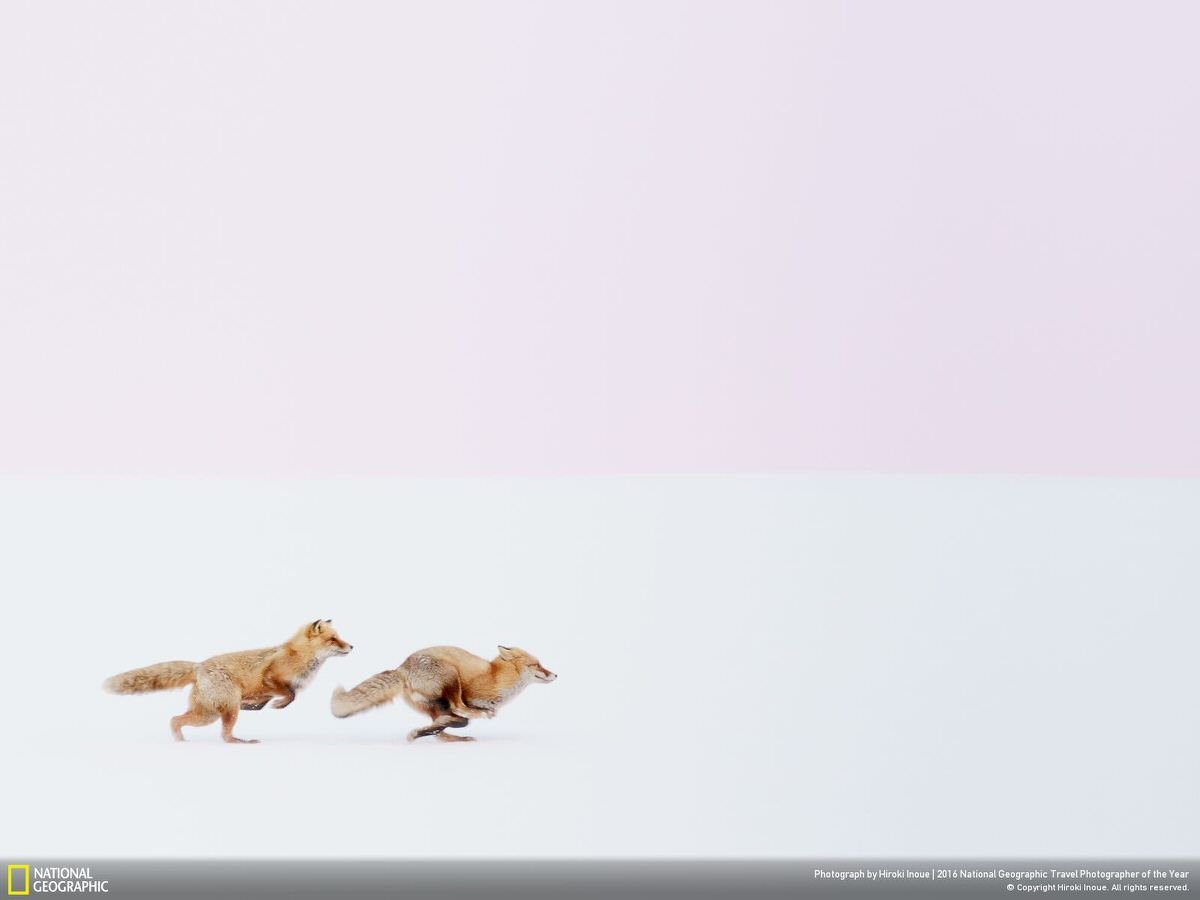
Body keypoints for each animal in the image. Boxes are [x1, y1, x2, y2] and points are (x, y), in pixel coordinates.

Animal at [103, 619, 353, 743]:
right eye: (333, 639)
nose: (352, 646)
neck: (300, 656)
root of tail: (198, 665)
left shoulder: (264, 691)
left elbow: (270, 699)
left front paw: (258, 706)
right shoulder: (271, 678)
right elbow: (289, 695)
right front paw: (278, 705)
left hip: (209, 713)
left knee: (176, 719)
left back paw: (180, 741)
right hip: (224, 710)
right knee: (222, 735)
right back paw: (237, 742)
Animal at [330, 644, 556, 742]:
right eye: (536, 665)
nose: (555, 674)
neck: (495, 677)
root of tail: (402, 668)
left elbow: (455, 721)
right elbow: (465, 712)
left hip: (433, 705)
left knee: (443, 728)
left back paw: (438, 734)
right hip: (451, 676)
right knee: (458, 709)